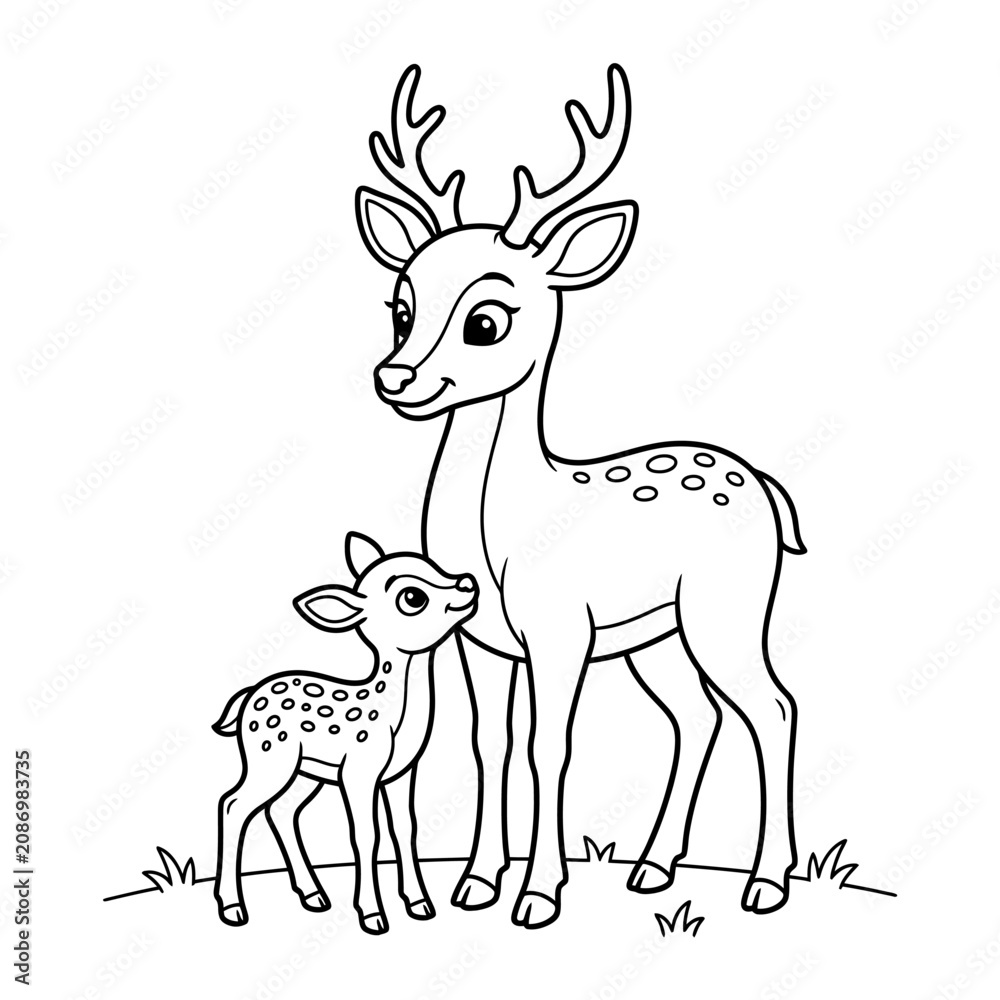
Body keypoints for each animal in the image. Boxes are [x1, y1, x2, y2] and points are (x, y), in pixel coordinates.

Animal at [212, 532, 478, 934]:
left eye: (435, 566)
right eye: (412, 597)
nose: (467, 582)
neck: (392, 716)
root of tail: (248, 696)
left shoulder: (401, 773)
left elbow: (405, 829)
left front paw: (420, 904)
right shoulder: (359, 770)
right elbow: (366, 835)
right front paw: (373, 915)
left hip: (305, 771)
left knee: (281, 812)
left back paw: (313, 895)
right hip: (269, 756)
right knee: (234, 805)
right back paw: (233, 907)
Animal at [354, 64, 806, 929]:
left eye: (487, 320)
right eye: (399, 307)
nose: (395, 378)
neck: (502, 539)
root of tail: (768, 489)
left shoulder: (561, 630)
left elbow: (550, 747)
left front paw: (538, 895)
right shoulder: (482, 641)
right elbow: (489, 745)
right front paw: (475, 884)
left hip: (728, 609)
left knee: (771, 707)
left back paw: (767, 884)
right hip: (657, 636)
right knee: (696, 716)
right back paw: (655, 869)